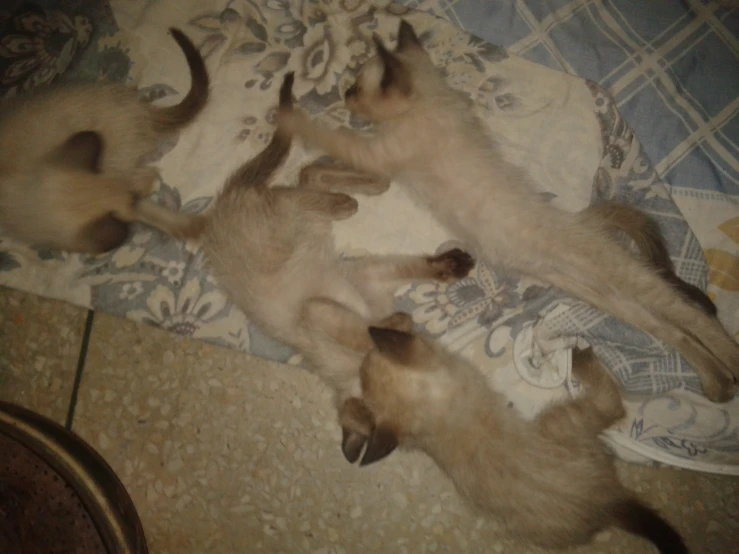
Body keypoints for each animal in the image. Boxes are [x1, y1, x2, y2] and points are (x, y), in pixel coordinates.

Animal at [199, 74, 474, 414]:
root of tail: (221, 206)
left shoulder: (367, 285)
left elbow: (414, 274)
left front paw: (455, 264)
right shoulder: (350, 292)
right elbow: (383, 323)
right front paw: (402, 319)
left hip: (302, 224)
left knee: (307, 178)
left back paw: (362, 188)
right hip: (293, 225)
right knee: (304, 183)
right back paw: (355, 194)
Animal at [278, 20, 739, 402]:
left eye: (357, 88)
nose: (343, 93)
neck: (431, 103)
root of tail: (577, 219)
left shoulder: (375, 153)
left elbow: (324, 135)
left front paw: (288, 113)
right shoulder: (381, 164)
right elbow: (340, 173)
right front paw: (333, 190)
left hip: (625, 278)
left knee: (694, 316)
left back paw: (729, 364)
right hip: (608, 298)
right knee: (669, 330)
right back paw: (716, 383)